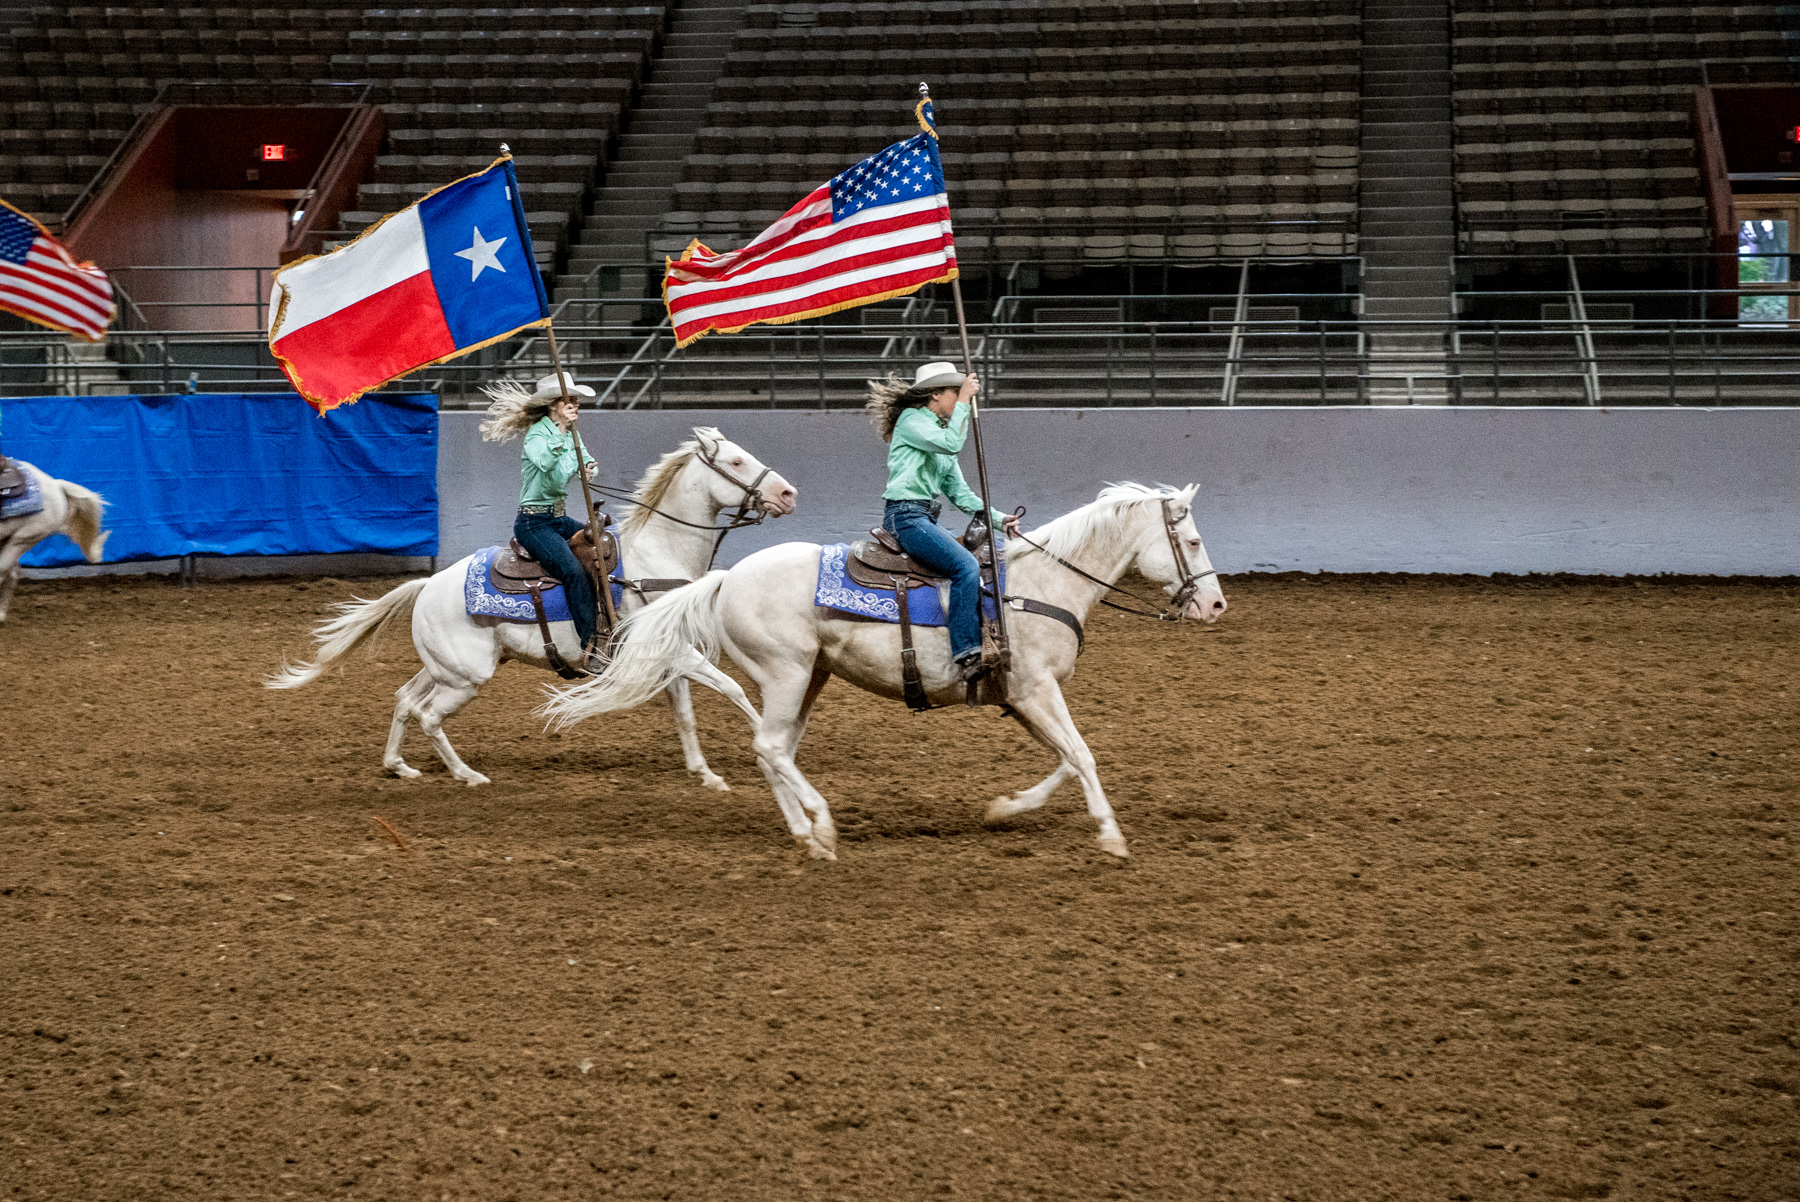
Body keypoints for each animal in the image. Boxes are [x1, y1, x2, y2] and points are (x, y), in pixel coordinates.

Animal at [266, 430, 795, 788]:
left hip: (444, 667)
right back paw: (468, 775)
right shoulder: (675, 653)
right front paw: (775, 750)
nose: (787, 493)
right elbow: (736, 690)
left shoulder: (669, 655)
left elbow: (686, 714)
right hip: (467, 677)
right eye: (736, 461)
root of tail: (428, 584)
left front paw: (706, 775)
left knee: (403, 699)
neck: (657, 555)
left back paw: (399, 765)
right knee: (429, 716)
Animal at [540, 482, 1231, 860]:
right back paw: (821, 823)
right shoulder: (1036, 690)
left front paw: (1006, 808)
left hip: (806, 678)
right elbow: (1083, 755)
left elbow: (1066, 759)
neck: (1038, 586)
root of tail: (726, 578)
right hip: (788, 674)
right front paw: (1111, 837)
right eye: (1194, 542)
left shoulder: (1022, 695)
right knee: (771, 747)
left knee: (771, 748)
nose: (1216, 605)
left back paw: (804, 832)